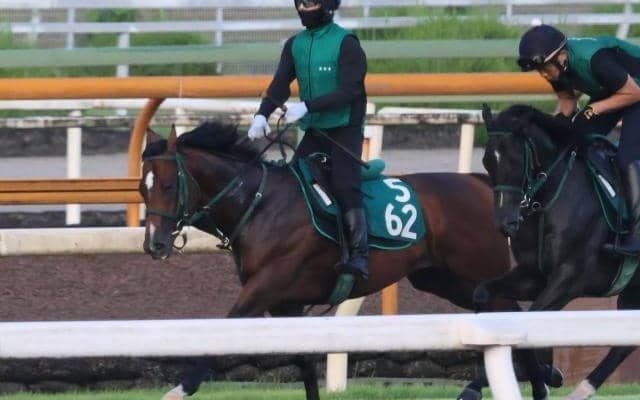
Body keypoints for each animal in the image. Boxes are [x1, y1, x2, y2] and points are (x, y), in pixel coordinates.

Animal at [139, 120, 561, 400]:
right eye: (142, 190)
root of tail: (481, 183)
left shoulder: (264, 289)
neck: (260, 205)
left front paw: (179, 389)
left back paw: (540, 382)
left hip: (479, 271)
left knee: (517, 319)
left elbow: (220, 334)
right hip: (448, 281)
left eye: (168, 185)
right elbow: (305, 364)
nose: (154, 245)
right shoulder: (285, 304)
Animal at [475, 104, 640, 400]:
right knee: (625, 343)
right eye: (487, 162)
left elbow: (531, 321)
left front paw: (543, 379)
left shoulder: (570, 279)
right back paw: (582, 389)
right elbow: (484, 294)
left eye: (516, 160)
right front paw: (543, 376)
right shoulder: (533, 275)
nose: (505, 223)